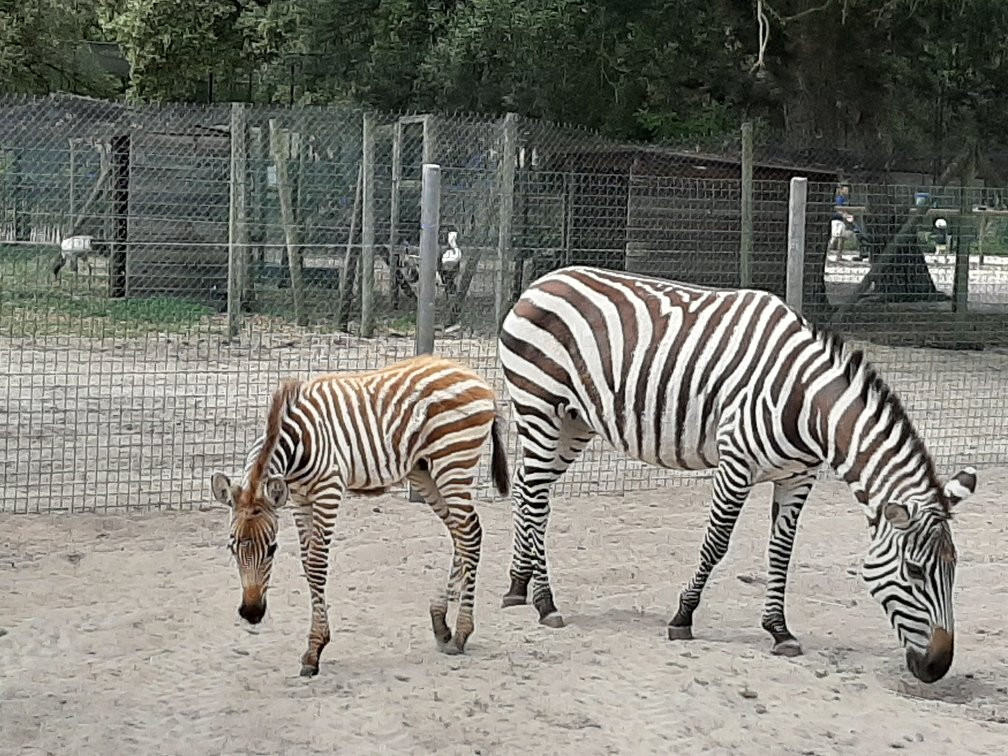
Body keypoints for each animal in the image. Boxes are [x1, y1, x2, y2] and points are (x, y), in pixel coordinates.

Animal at [212, 354, 512, 681]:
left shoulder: (328, 489)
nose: (252, 614)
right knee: (460, 533)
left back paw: (461, 633)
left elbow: (316, 564)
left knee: (470, 534)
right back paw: (441, 623)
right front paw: (313, 647)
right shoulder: (299, 498)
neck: (298, 440)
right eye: (231, 547)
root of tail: (478, 379)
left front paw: (315, 649)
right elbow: (306, 561)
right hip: (424, 471)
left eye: (271, 549)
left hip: (453, 462)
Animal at [495, 266, 975, 685]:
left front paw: (780, 630)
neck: (809, 405)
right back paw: (544, 602)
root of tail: (540, 282)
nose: (938, 667)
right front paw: (683, 616)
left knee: (529, 492)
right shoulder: (736, 465)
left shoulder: (798, 476)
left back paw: (518, 586)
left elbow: (781, 552)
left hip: (574, 423)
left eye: (954, 569)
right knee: (534, 495)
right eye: (914, 572)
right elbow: (716, 543)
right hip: (539, 407)